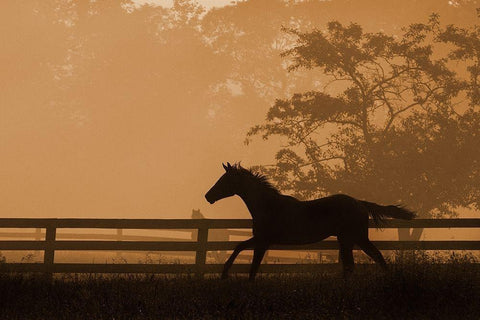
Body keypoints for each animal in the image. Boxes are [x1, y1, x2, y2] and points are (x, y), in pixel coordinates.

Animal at [204, 162, 414, 280]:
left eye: (224, 180)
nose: (207, 196)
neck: (268, 206)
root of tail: (359, 203)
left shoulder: (263, 241)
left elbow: (252, 265)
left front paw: (227, 275)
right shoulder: (260, 239)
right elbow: (239, 247)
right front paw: (224, 274)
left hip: (356, 237)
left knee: (375, 256)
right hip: (346, 240)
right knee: (351, 265)